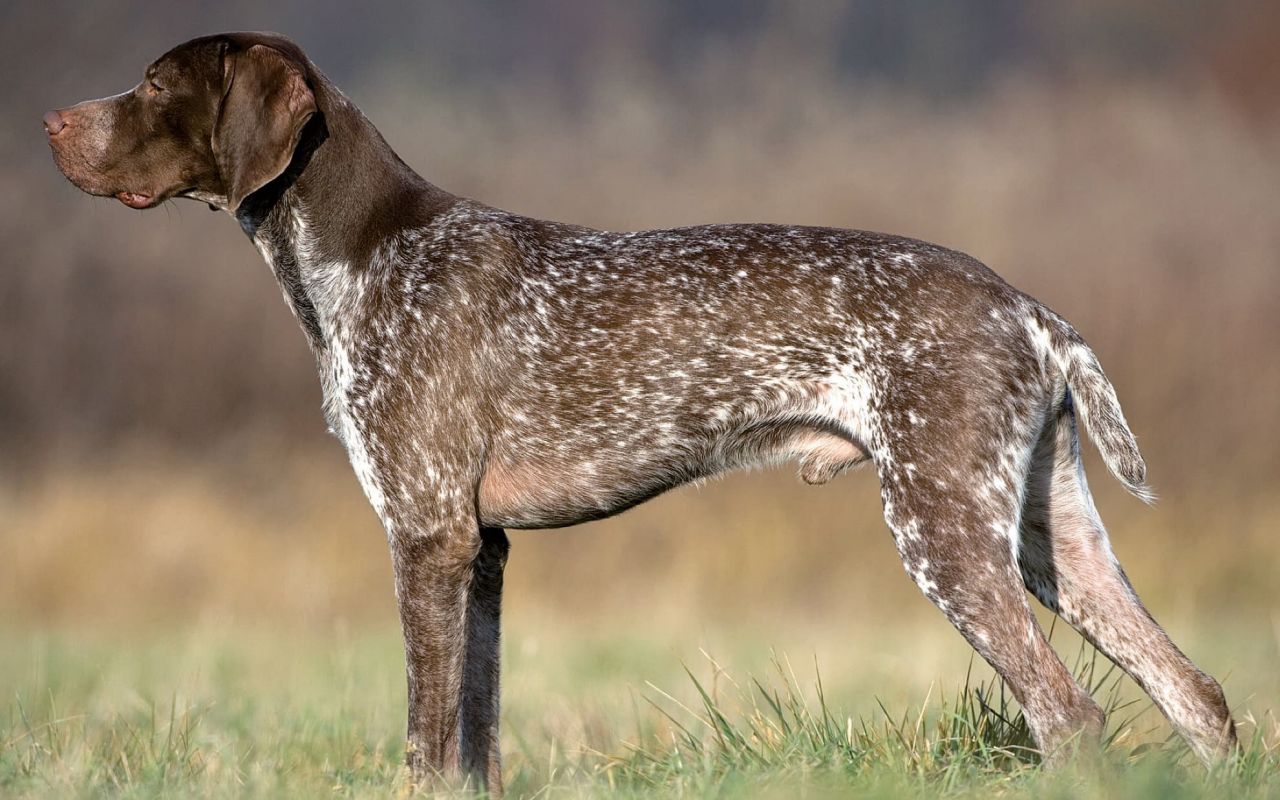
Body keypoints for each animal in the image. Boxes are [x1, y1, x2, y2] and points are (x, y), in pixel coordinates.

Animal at [45, 31, 1233, 793]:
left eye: (152, 84)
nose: (51, 120)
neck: (363, 255)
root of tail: (1024, 305)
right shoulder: (482, 551)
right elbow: (477, 737)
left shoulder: (426, 536)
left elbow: (427, 742)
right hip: (1049, 535)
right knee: (1197, 695)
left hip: (942, 528)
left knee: (1070, 716)